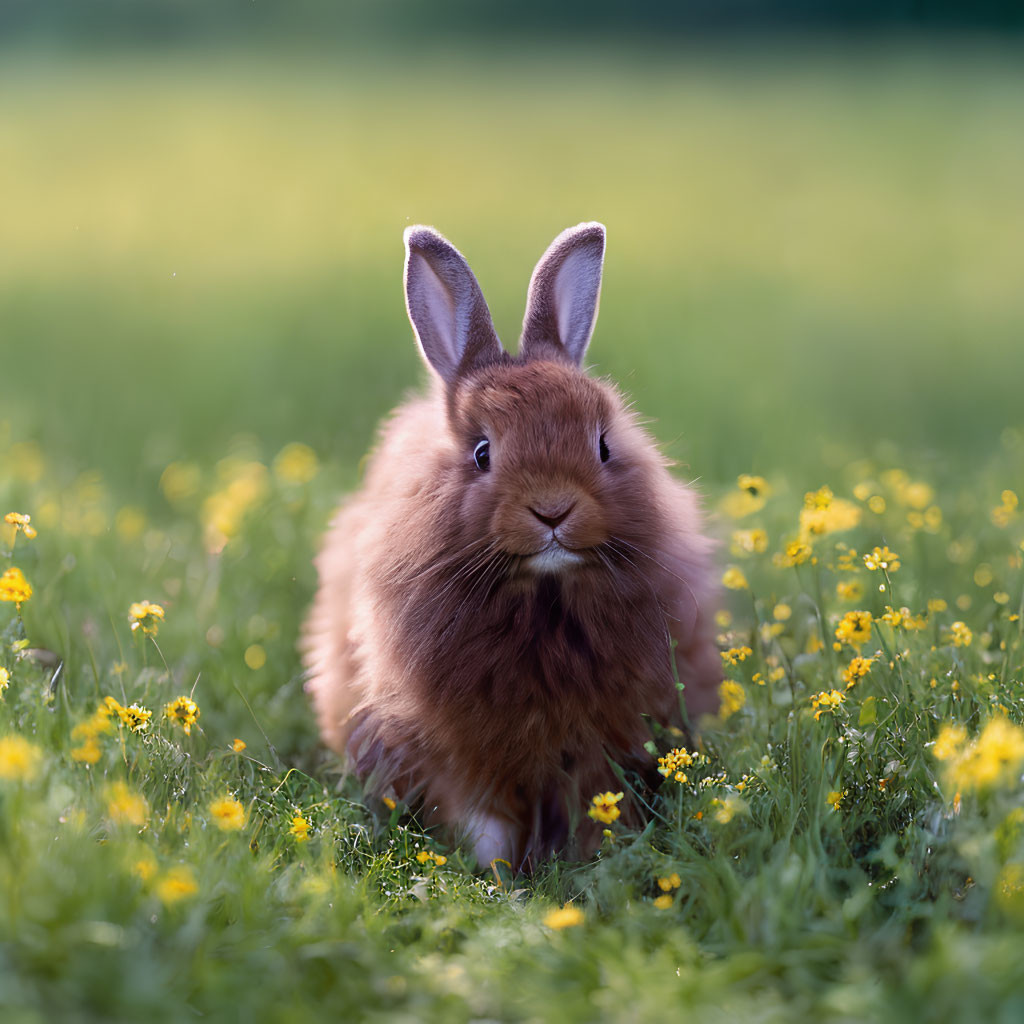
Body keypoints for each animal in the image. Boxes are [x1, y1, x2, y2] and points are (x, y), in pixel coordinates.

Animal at [303, 222, 720, 864]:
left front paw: (594, 863)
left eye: (603, 446)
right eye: (482, 453)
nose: (553, 509)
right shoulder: (461, 758)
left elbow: (596, 808)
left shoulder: (606, 745)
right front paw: (497, 877)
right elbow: (485, 825)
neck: (542, 597)